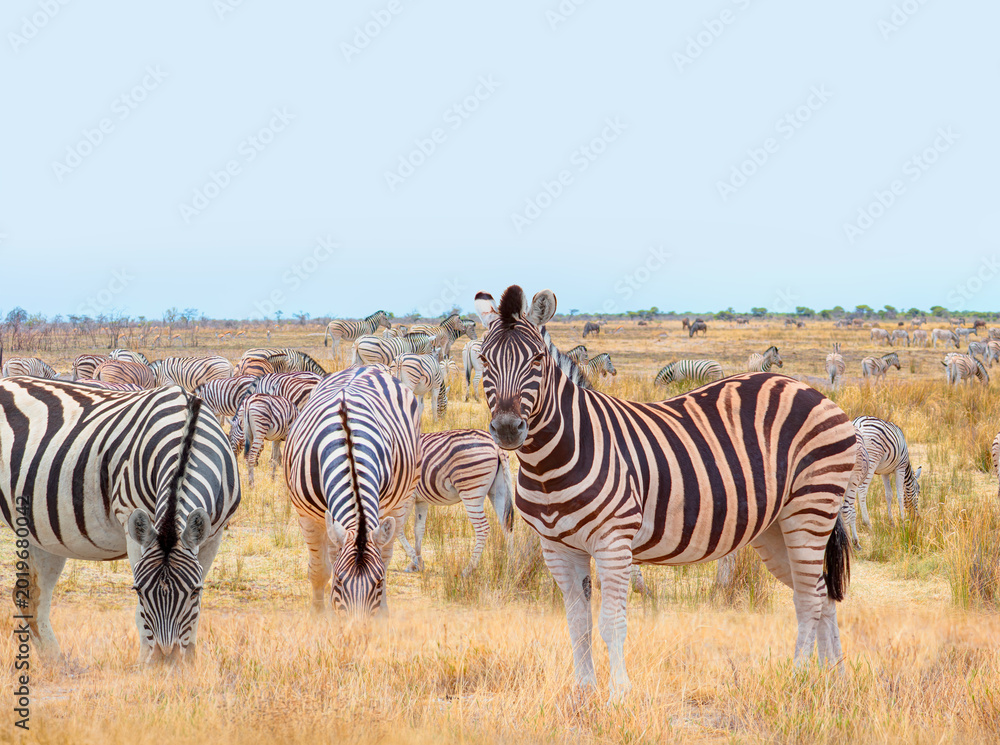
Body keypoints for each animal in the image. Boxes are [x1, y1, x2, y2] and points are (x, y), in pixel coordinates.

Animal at [0, 379, 240, 662]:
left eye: (194, 590)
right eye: (138, 590)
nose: (166, 659)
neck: (187, 431)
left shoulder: (214, 535)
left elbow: (195, 614)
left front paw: (187, 664)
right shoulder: (131, 522)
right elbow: (141, 617)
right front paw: (148, 664)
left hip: (42, 532)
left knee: (32, 598)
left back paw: (57, 665)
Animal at [282, 366, 421, 617]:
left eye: (378, 582)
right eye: (338, 581)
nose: (358, 625)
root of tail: (367, 367)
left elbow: (381, 559)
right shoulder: (307, 516)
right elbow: (320, 570)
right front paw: (319, 615)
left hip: (402, 498)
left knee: (386, 553)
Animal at [397, 430, 514, 576]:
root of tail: (496, 445)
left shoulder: (408, 497)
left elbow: (398, 528)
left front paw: (415, 561)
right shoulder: (421, 500)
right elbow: (418, 529)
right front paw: (418, 562)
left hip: (471, 491)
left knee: (483, 529)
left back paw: (468, 569)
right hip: (499, 490)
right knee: (506, 525)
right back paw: (510, 568)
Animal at [474, 286, 856, 700]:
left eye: (538, 359)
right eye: (483, 359)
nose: (507, 429)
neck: (552, 461)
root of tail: (807, 388)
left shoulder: (613, 540)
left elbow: (611, 622)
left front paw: (618, 696)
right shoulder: (557, 547)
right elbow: (577, 623)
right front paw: (584, 695)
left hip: (811, 505)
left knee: (809, 598)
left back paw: (798, 677)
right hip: (775, 527)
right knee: (820, 592)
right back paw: (833, 678)